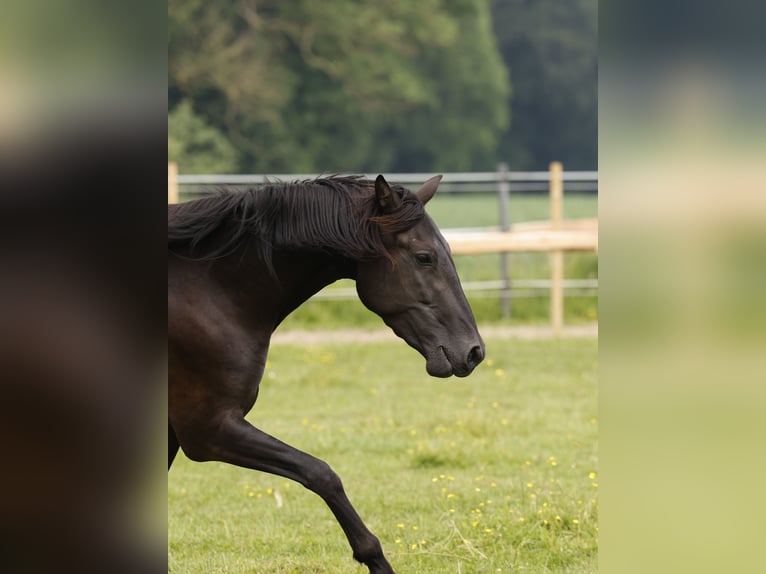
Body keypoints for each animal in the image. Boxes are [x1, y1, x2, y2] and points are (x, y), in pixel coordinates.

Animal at [169, 176, 486, 574]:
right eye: (424, 257)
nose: (474, 351)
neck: (210, 293)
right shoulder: (208, 429)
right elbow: (323, 474)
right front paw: (375, 559)